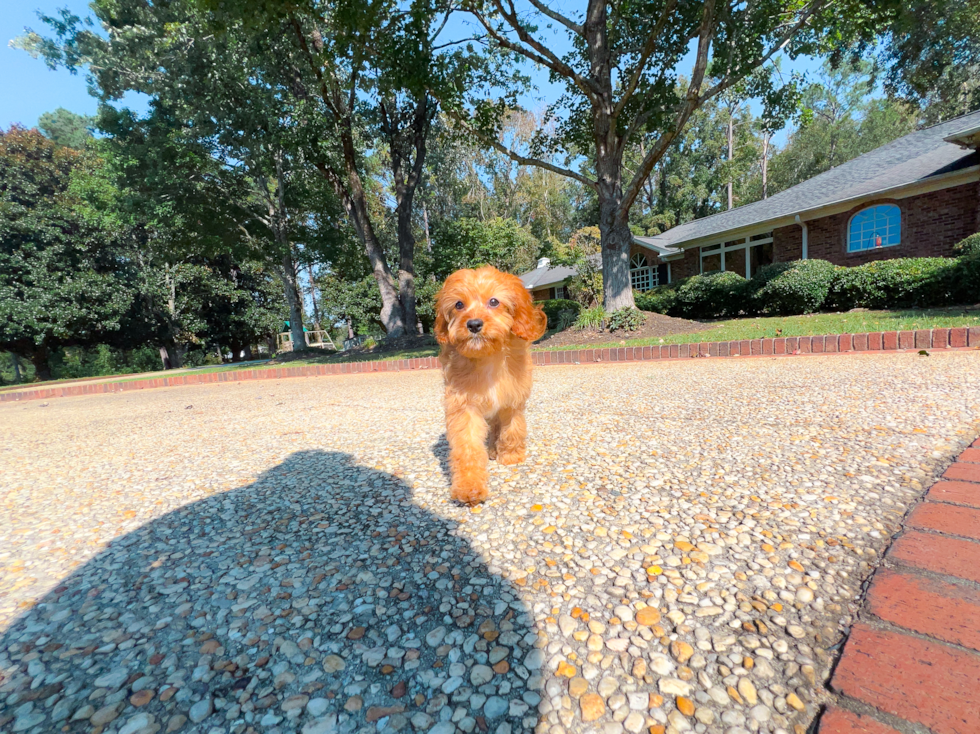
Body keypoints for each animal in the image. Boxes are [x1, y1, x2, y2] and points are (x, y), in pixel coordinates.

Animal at [432, 266, 548, 506]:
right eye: (459, 304)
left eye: (494, 301)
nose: (474, 324)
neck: (487, 357)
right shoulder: (463, 406)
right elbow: (467, 446)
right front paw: (469, 487)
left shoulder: (512, 402)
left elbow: (513, 429)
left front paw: (511, 455)